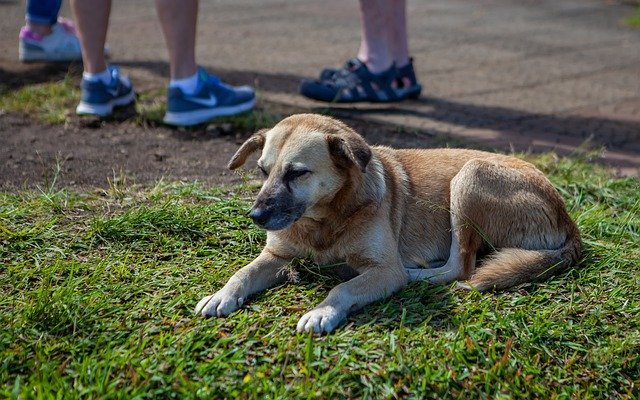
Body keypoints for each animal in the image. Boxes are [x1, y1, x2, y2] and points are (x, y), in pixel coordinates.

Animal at [194, 113, 580, 334]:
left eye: (297, 173)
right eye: (262, 170)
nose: (256, 217)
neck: (325, 220)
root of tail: (566, 217)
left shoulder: (383, 269)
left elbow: (343, 289)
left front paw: (322, 312)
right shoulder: (277, 256)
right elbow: (242, 273)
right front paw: (221, 294)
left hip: (469, 177)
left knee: (461, 266)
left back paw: (417, 274)